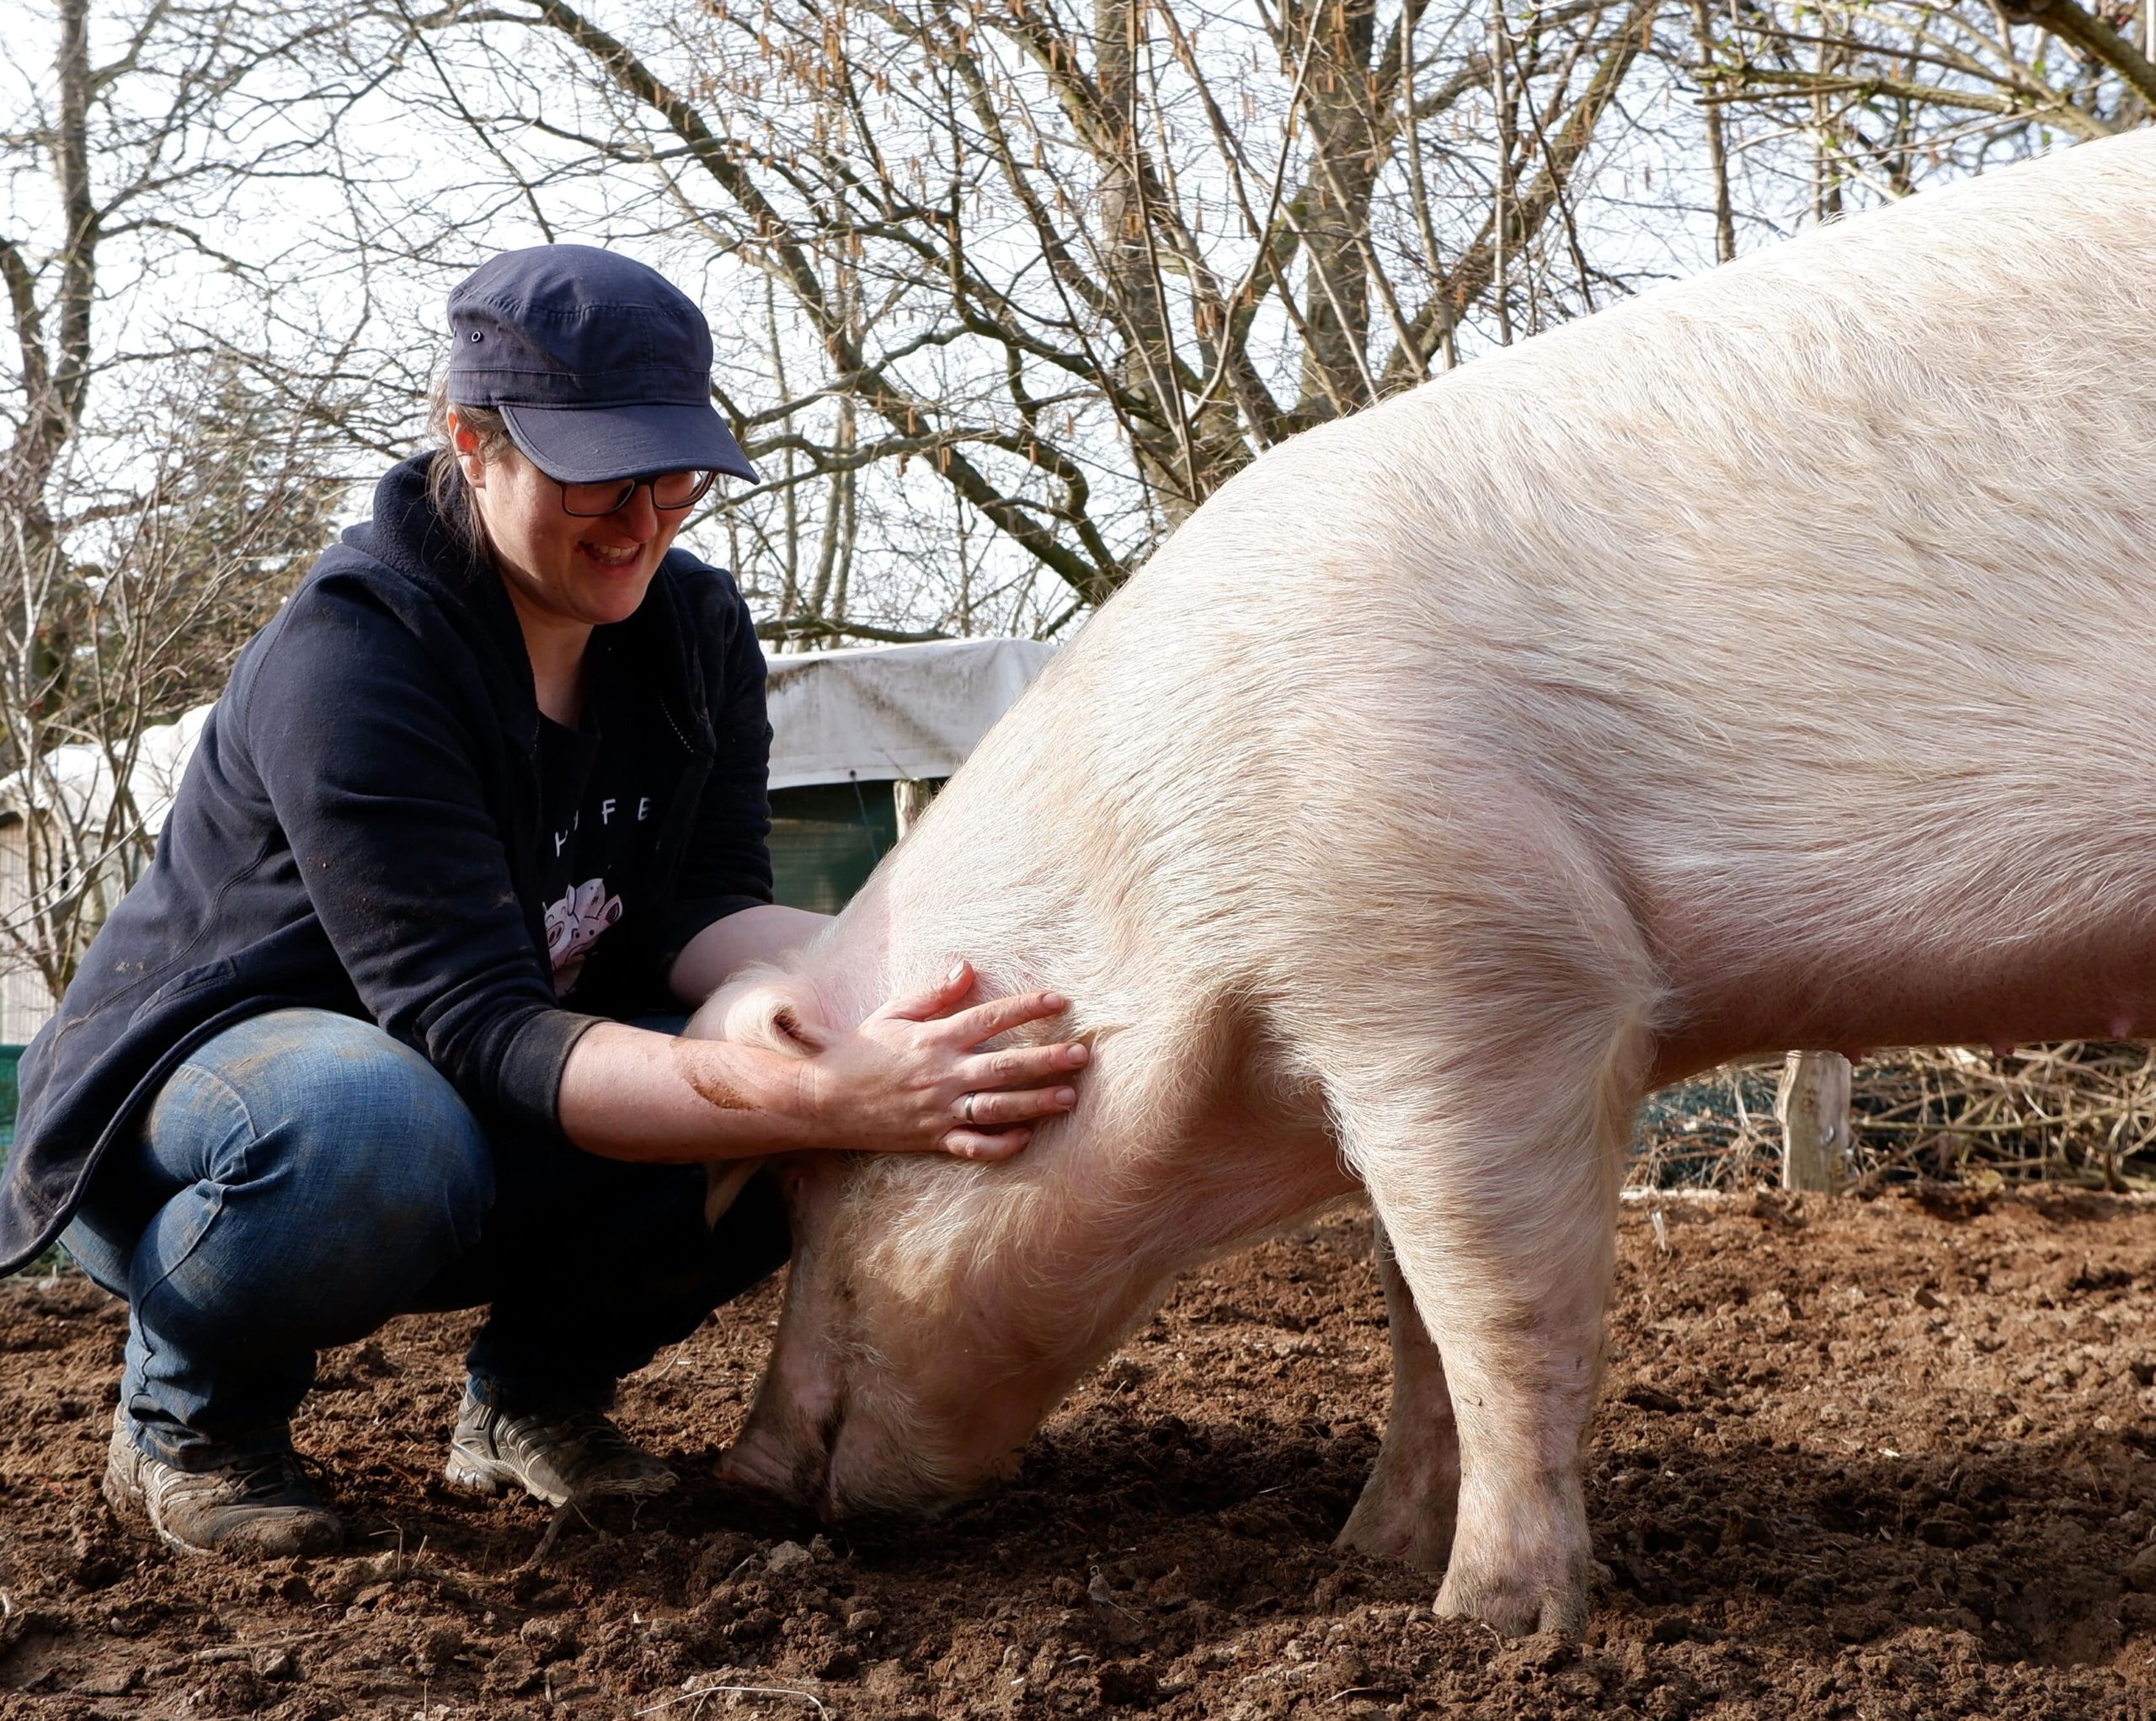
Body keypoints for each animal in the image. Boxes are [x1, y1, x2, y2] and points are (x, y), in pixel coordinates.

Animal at [698, 128, 2156, 1638]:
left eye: (821, 1178)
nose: (731, 1480)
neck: (1151, 871)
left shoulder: (1472, 966)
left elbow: (1490, 1310)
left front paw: (1485, 1621)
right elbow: (1411, 1317)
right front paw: (1363, 1561)